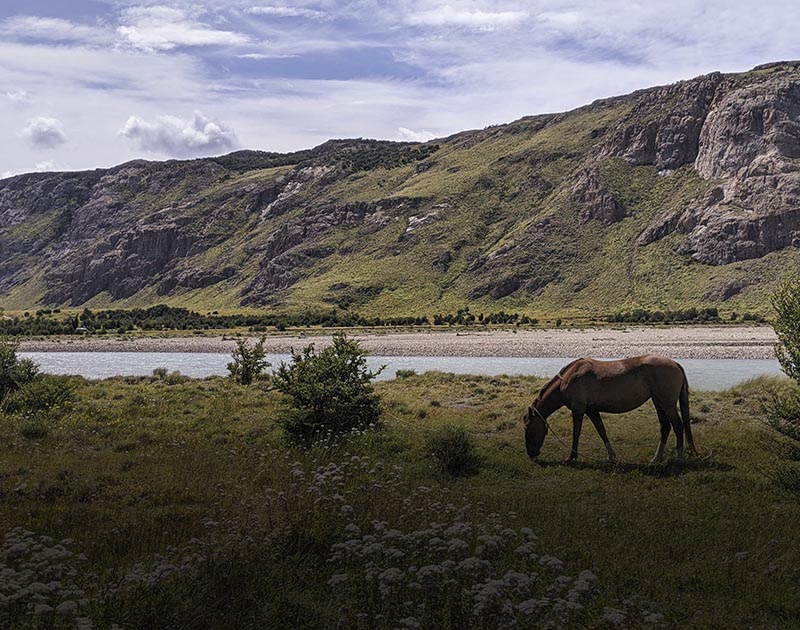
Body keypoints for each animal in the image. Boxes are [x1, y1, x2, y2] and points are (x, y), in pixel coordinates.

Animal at [524, 356, 692, 464]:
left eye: (529, 429)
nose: (531, 455)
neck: (567, 378)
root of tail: (675, 363)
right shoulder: (591, 410)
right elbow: (602, 431)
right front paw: (611, 456)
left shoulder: (578, 408)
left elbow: (576, 433)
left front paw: (571, 457)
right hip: (659, 403)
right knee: (665, 427)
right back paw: (656, 459)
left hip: (667, 405)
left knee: (678, 426)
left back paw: (679, 457)